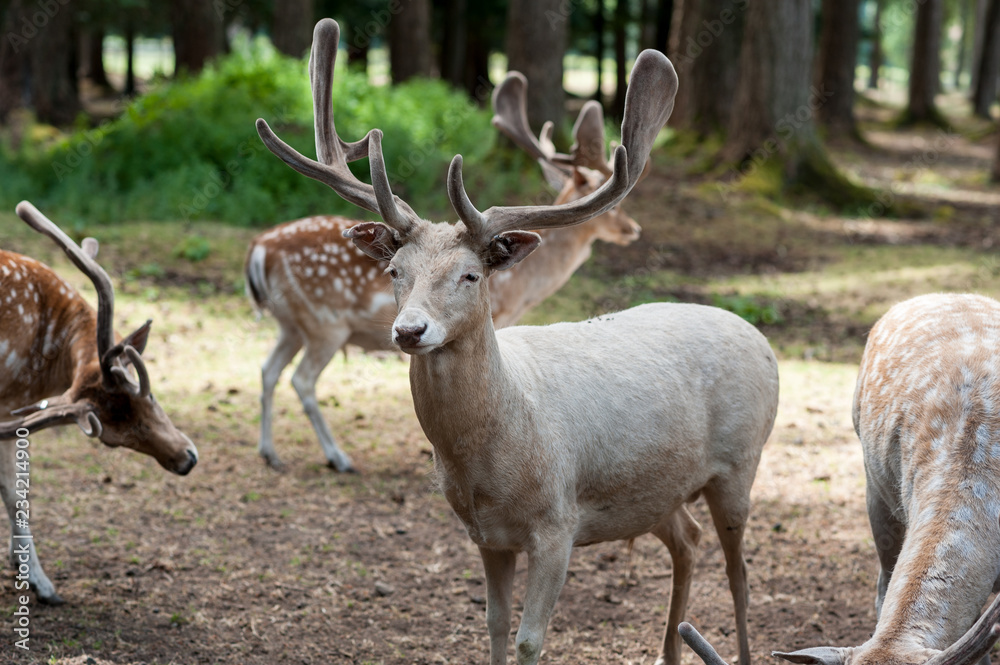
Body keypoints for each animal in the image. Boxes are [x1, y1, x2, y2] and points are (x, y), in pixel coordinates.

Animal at [0, 201, 197, 600]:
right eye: (110, 441)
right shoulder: (7, 401)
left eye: (151, 395)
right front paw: (41, 582)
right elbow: (15, 492)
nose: (187, 460)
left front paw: (17, 562)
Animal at [242, 67, 640, 472]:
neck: (529, 287)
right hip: (325, 323)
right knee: (301, 380)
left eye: (469, 274)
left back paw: (270, 452)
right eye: (616, 209)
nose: (633, 228)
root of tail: (258, 249)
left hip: (290, 323)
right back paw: (338, 456)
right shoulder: (503, 314)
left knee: (267, 370)